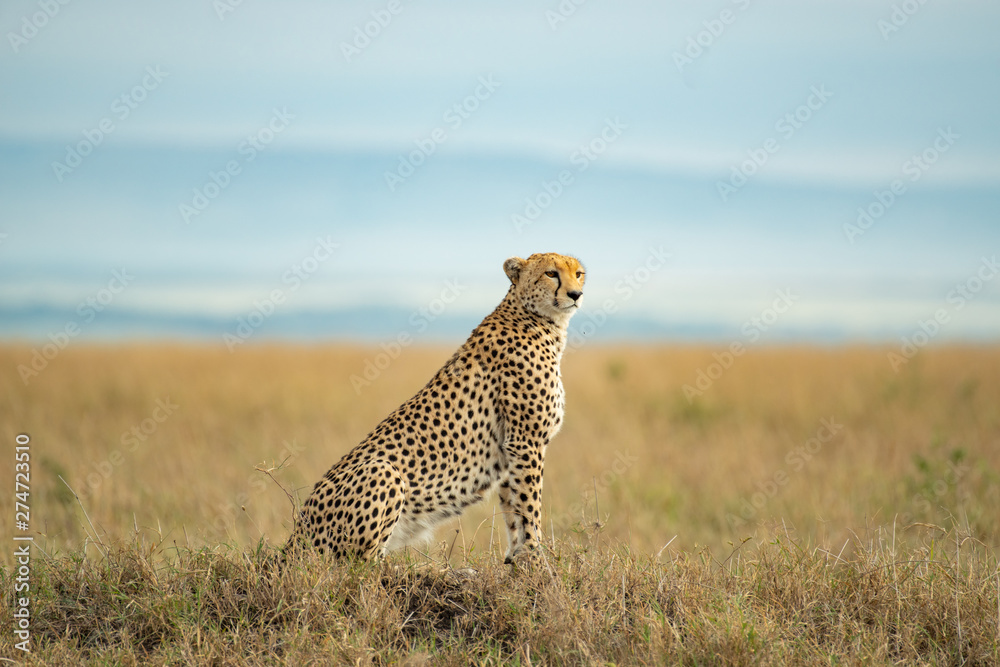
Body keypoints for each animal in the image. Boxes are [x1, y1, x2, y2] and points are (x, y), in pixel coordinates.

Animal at [285, 252, 585, 564]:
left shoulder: (511, 449)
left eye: (579, 274)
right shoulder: (526, 442)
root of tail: (293, 538)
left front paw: (518, 560)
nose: (576, 294)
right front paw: (537, 560)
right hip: (382, 471)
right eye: (551, 273)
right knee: (357, 566)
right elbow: (529, 507)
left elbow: (514, 510)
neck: (539, 320)